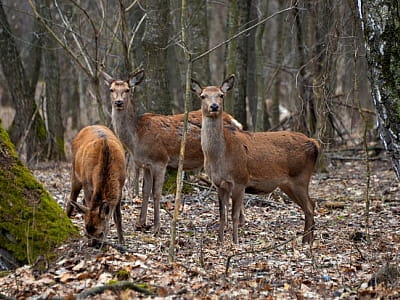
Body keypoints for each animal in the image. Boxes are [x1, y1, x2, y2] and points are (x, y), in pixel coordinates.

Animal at [101, 69, 244, 232]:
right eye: (111, 89)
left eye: (127, 89)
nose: (118, 102)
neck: (136, 138)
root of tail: (235, 122)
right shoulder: (145, 164)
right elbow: (145, 192)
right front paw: (140, 223)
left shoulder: (160, 160)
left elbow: (156, 193)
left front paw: (156, 226)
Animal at [192, 74, 320, 244]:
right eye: (202, 96)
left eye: (221, 95)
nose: (214, 106)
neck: (218, 157)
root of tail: (314, 143)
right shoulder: (219, 183)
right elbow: (222, 214)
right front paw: (219, 242)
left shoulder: (240, 180)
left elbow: (235, 215)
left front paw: (235, 242)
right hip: (287, 184)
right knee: (309, 205)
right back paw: (306, 240)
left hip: (300, 176)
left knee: (310, 206)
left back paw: (307, 242)